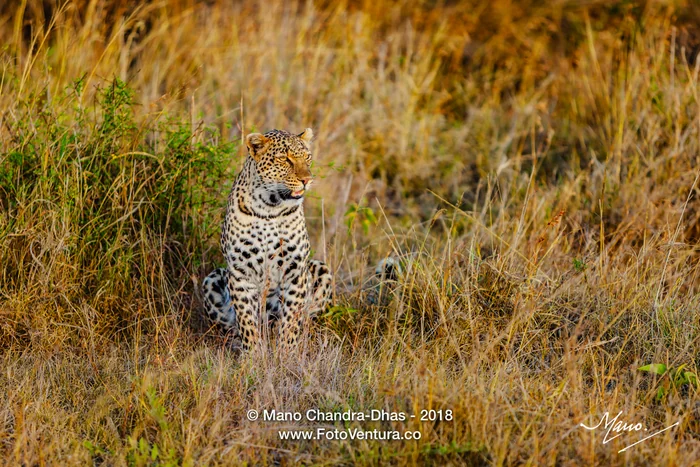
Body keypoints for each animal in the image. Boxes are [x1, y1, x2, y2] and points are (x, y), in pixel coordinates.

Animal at [201, 128, 332, 351]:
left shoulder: (295, 270)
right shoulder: (240, 273)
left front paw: (286, 353)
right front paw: (253, 354)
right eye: (284, 159)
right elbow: (246, 321)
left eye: (307, 157)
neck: (270, 206)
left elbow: (290, 321)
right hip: (212, 278)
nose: (307, 180)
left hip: (320, 270)